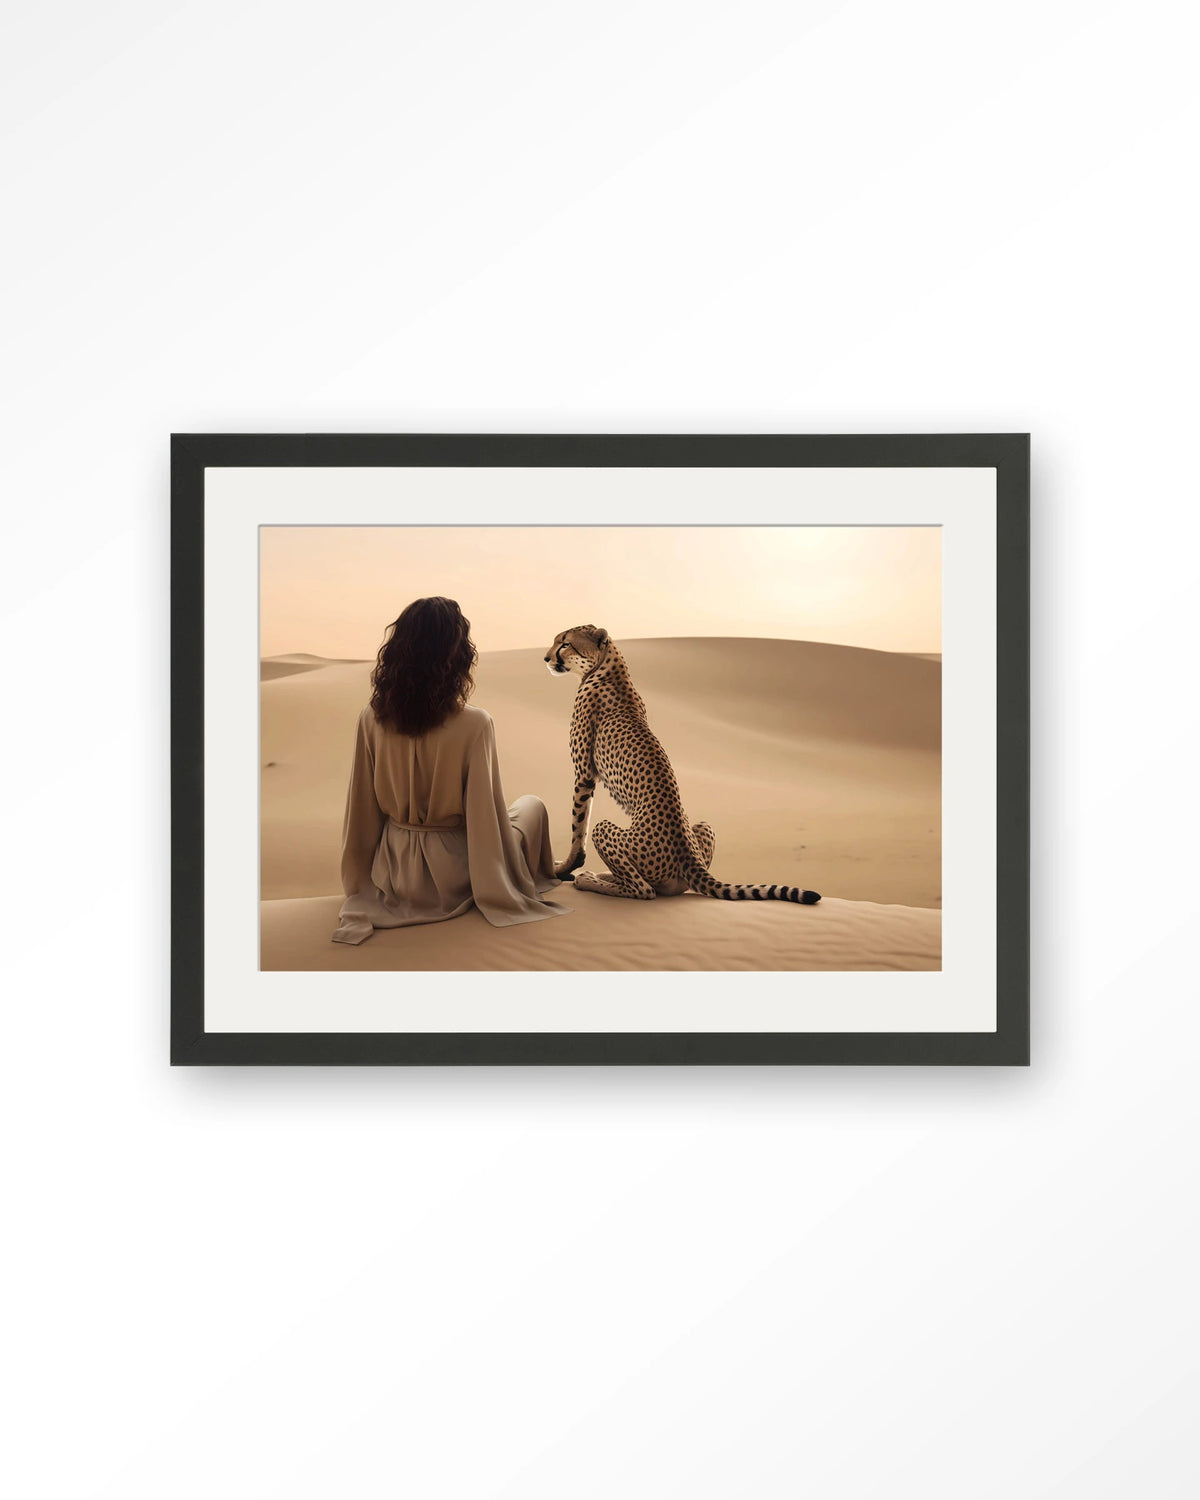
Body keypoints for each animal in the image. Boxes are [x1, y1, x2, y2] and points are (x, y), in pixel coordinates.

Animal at [544, 624, 821, 905]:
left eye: (565, 644)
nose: (546, 658)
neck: (608, 667)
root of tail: (688, 858)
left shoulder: (584, 773)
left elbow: (578, 828)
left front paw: (562, 868)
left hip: (611, 835)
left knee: (644, 890)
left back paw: (591, 880)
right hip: (703, 827)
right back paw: (607, 876)